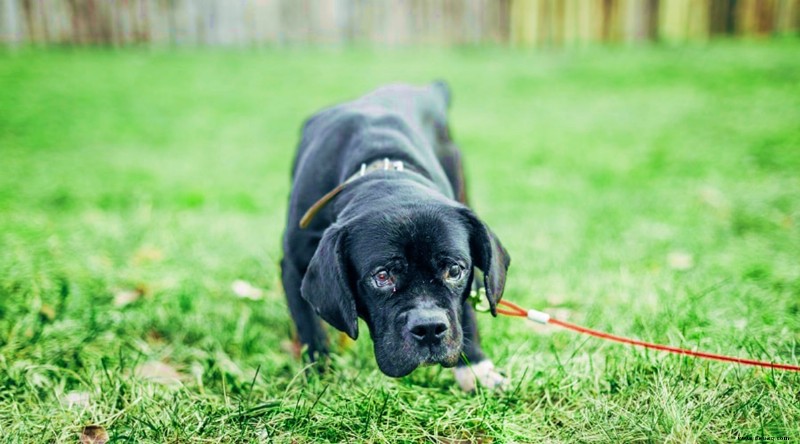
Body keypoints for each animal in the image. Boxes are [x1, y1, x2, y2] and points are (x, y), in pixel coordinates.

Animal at [278, 81, 510, 390]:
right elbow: (309, 327)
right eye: (382, 276)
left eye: (454, 271)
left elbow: (466, 311)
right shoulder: (295, 266)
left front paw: (476, 368)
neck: (382, 168)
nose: (429, 328)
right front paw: (317, 379)